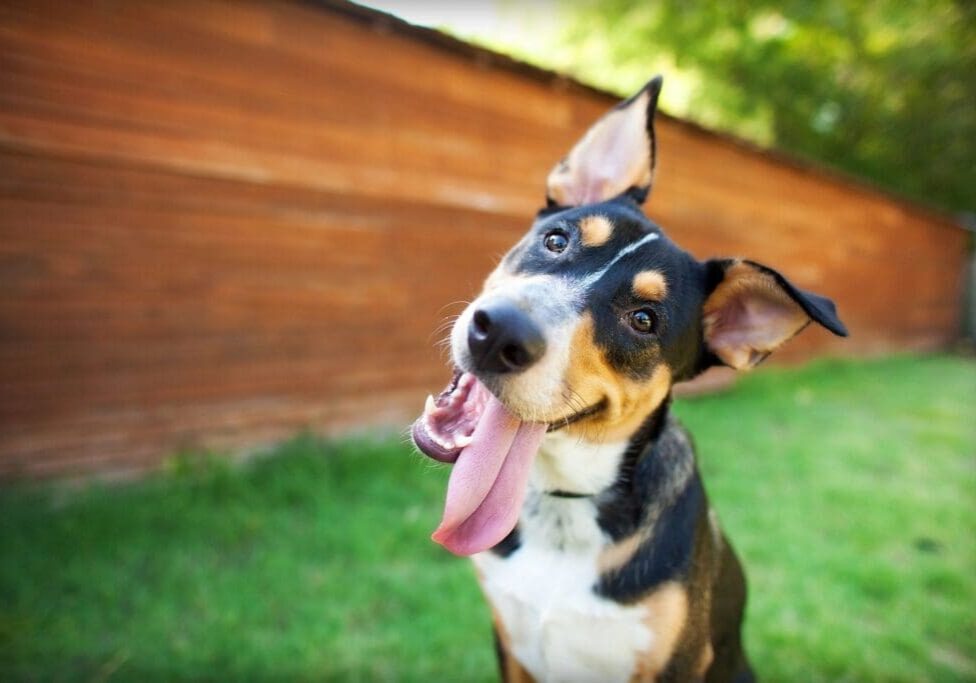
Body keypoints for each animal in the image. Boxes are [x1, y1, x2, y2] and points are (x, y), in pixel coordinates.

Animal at [408, 77, 844, 680]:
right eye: (557, 240)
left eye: (643, 320)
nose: (497, 334)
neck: (566, 507)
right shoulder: (510, 641)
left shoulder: (676, 662)